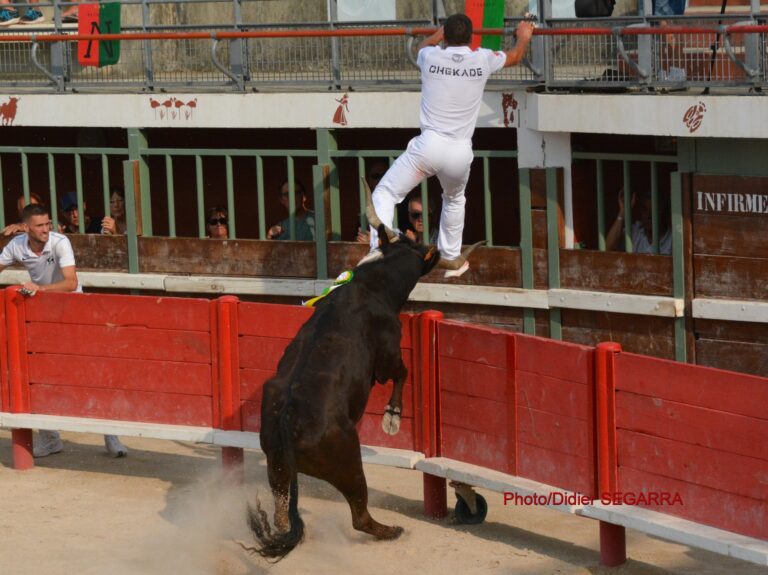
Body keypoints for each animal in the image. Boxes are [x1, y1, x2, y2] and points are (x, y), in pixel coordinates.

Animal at [243, 227, 440, 560]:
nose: (431, 245)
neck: (370, 282)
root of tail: (287, 422)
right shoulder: (388, 356)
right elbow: (402, 373)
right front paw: (392, 418)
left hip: (276, 466)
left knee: (282, 515)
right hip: (349, 464)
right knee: (359, 515)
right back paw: (391, 531)